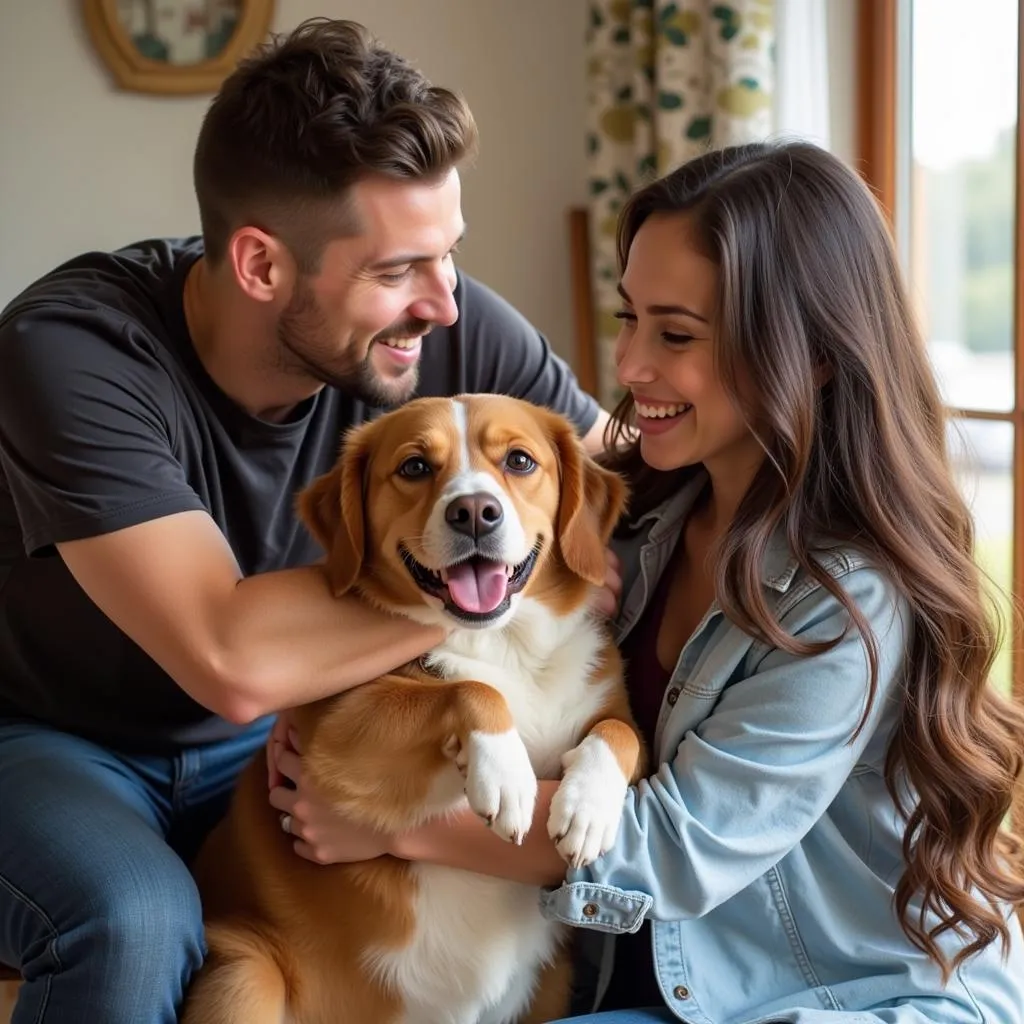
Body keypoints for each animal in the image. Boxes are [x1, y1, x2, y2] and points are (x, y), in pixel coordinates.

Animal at [183, 395, 643, 1024]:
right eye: (416, 467)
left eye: (520, 461)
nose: (474, 512)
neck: (505, 644)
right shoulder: (335, 736)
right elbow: (471, 691)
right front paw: (506, 772)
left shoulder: (609, 702)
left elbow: (621, 733)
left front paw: (588, 808)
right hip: (245, 976)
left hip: (547, 988)